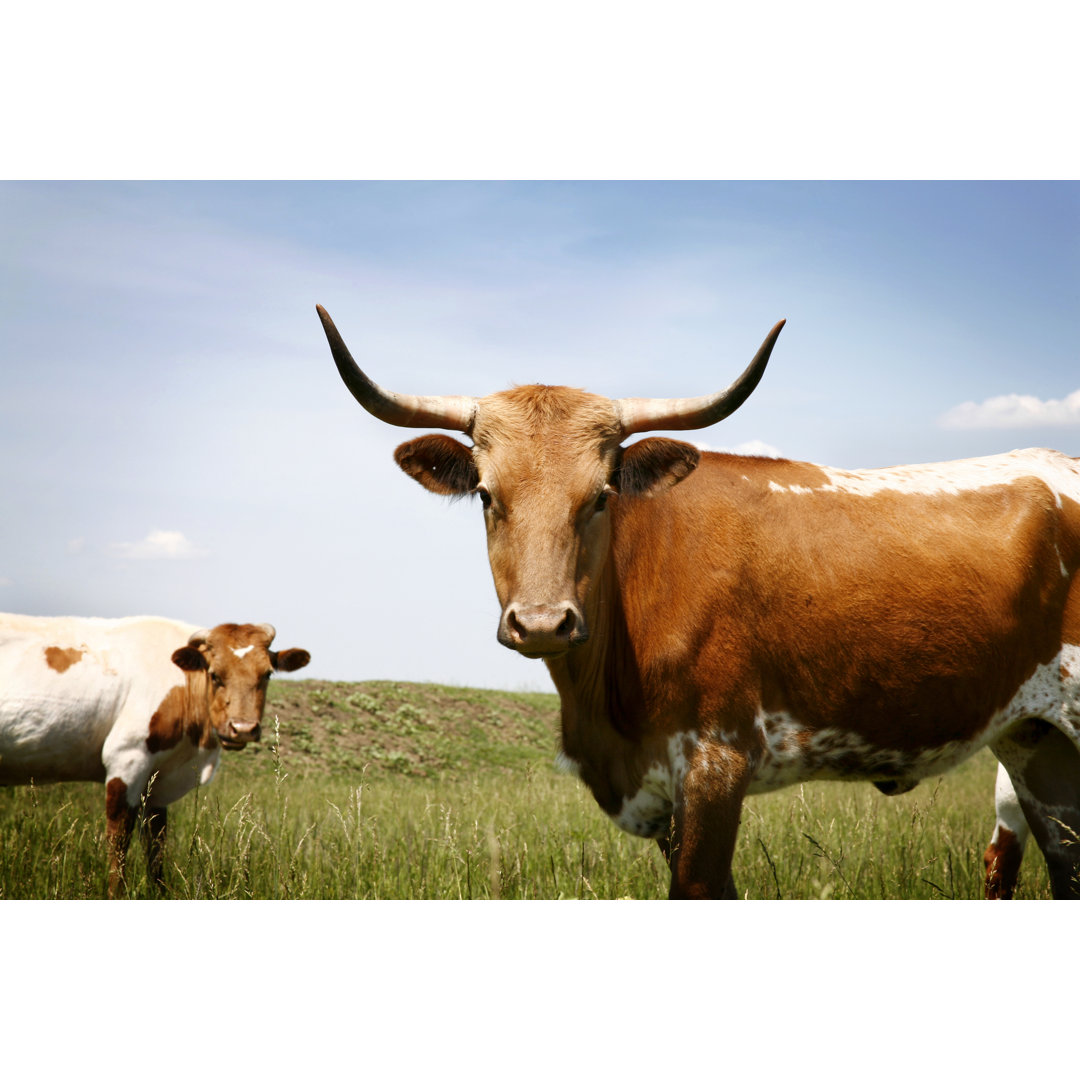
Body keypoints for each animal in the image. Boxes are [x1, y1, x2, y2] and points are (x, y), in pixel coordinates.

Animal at [1, 613, 313, 898]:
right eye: (214, 675)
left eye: (267, 674)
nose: (243, 728)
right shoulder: (126, 758)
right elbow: (119, 839)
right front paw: (116, 892)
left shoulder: (158, 781)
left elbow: (156, 843)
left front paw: (160, 892)